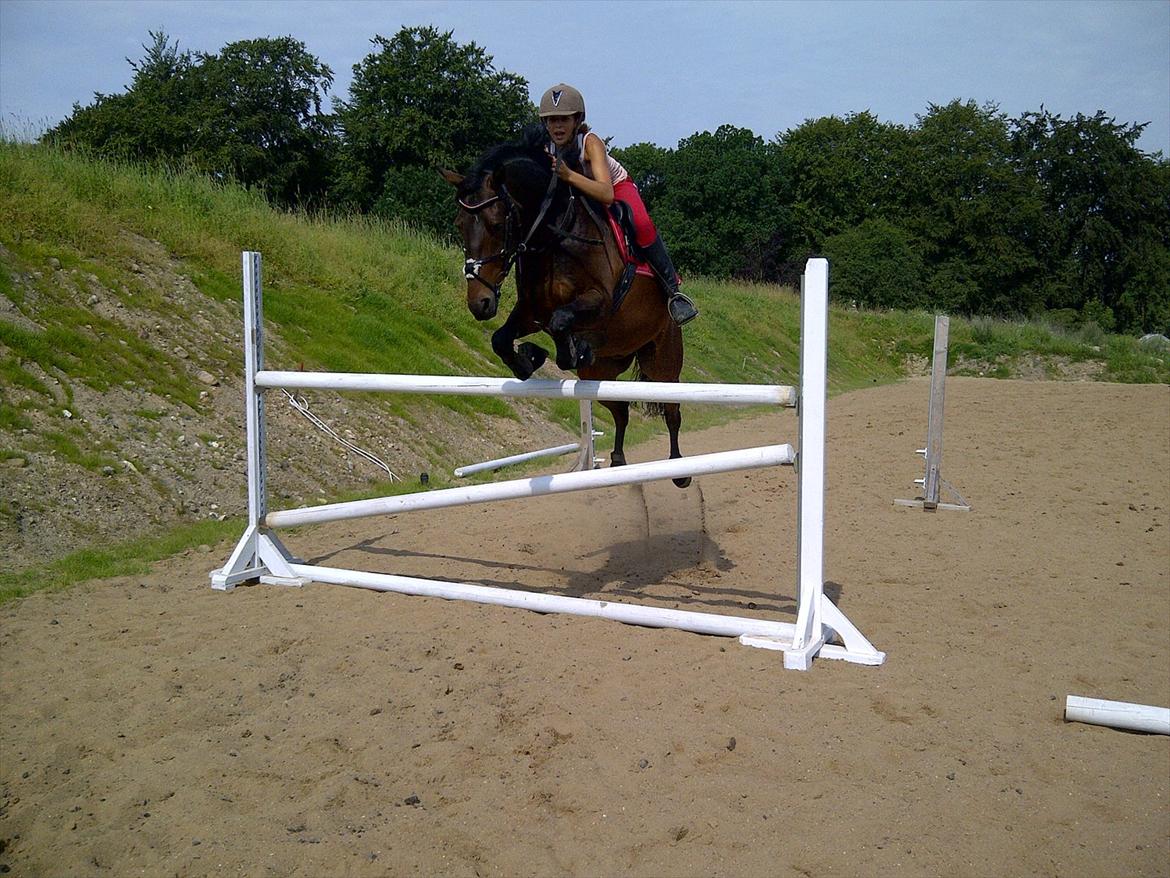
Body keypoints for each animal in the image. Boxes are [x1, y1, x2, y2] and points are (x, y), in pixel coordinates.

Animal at [442, 128, 687, 489]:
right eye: (460, 224)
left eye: (496, 224)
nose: (480, 303)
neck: (553, 234)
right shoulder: (532, 312)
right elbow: (502, 339)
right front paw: (531, 357)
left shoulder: (600, 302)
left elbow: (560, 323)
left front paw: (559, 350)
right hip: (601, 373)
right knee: (620, 410)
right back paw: (617, 462)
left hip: (662, 360)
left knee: (672, 410)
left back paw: (679, 470)